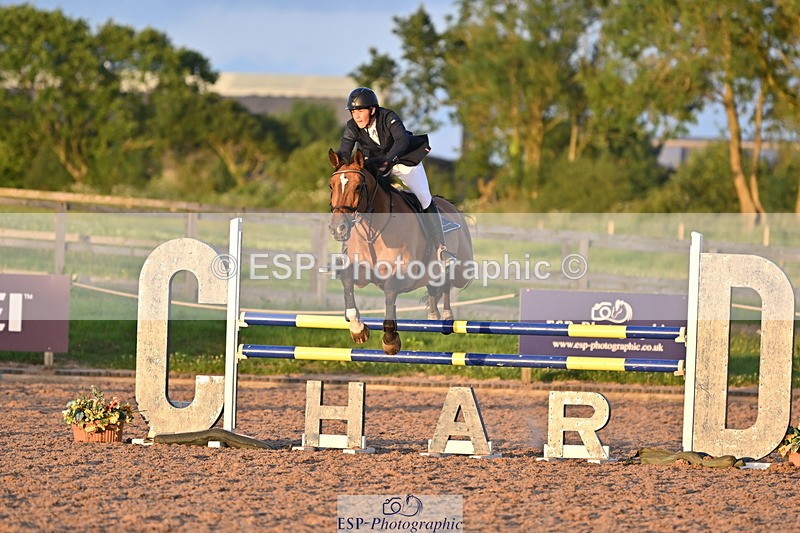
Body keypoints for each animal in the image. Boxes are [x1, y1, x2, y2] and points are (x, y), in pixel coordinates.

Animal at [327, 148, 474, 354]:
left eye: (358, 187)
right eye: (331, 186)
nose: (337, 229)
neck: (374, 230)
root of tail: (451, 206)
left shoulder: (405, 275)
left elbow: (390, 291)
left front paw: (390, 340)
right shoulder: (362, 272)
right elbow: (347, 279)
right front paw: (358, 330)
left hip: (462, 270)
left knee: (448, 280)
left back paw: (446, 316)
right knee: (434, 285)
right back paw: (434, 316)